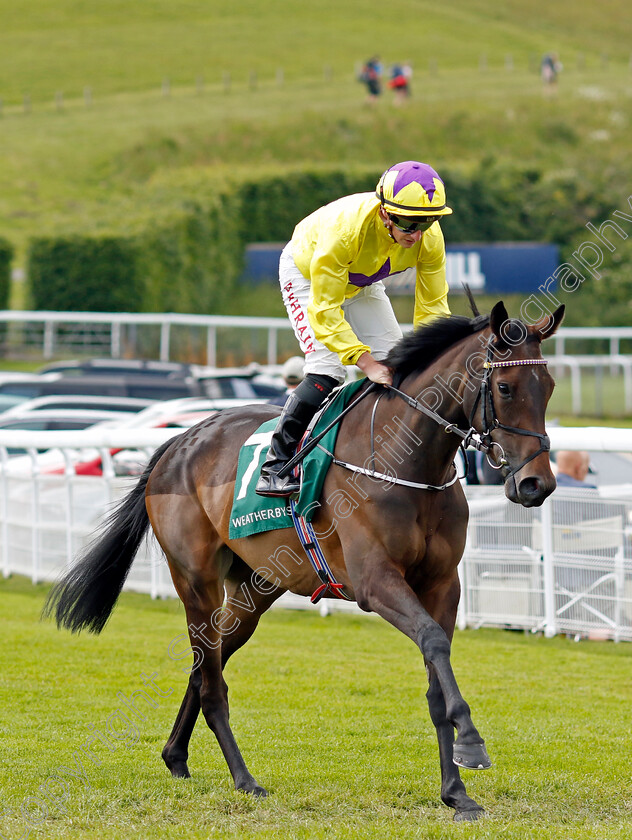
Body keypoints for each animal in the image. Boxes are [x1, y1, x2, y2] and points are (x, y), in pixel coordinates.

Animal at [47, 300, 564, 820]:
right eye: (504, 387)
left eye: (550, 387)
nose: (536, 484)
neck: (406, 462)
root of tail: (178, 442)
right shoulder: (375, 582)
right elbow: (434, 643)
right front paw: (472, 743)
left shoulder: (442, 584)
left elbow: (436, 672)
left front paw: (455, 791)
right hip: (195, 579)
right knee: (211, 681)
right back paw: (244, 778)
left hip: (253, 591)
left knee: (206, 663)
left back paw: (176, 755)